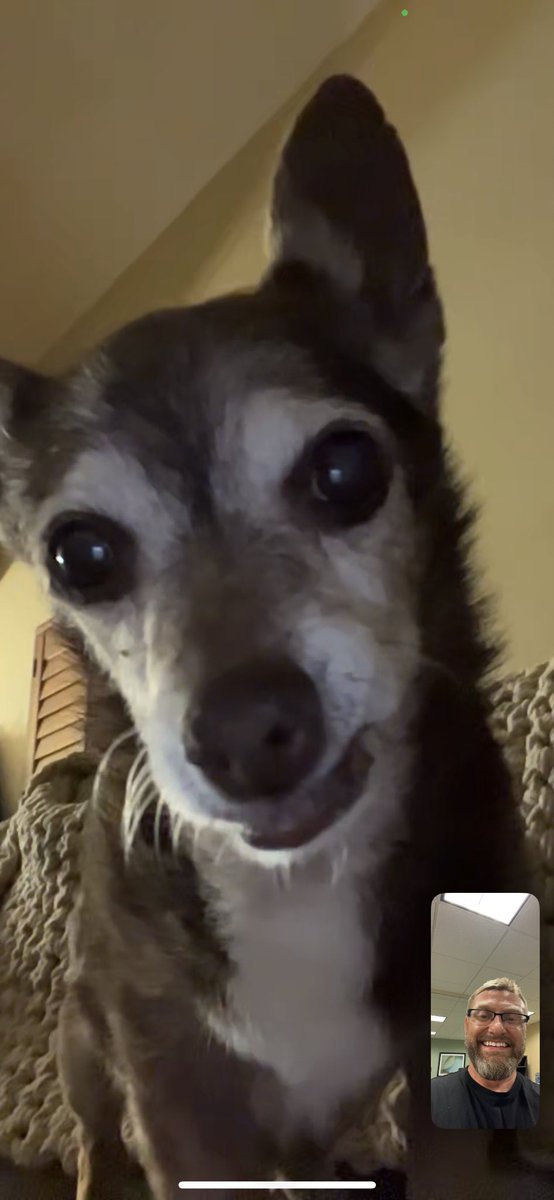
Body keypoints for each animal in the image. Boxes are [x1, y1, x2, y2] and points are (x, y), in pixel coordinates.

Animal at [0, 79, 542, 1195]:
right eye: (79, 556)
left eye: (346, 469)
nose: (248, 733)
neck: (299, 883)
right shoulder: (175, 1096)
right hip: (84, 1042)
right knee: (95, 1140)